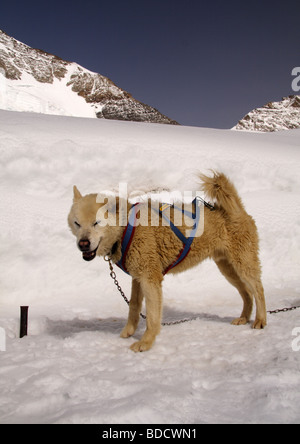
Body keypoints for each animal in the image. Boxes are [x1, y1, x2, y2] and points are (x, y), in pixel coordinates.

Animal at [68, 172, 268, 352]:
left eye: (97, 222)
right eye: (77, 223)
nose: (83, 243)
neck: (127, 228)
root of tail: (237, 209)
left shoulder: (150, 279)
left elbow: (151, 317)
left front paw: (146, 342)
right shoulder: (138, 278)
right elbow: (133, 307)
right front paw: (128, 331)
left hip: (243, 265)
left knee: (258, 290)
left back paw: (260, 320)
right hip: (228, 269)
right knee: (246, 294)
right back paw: (244, 317)